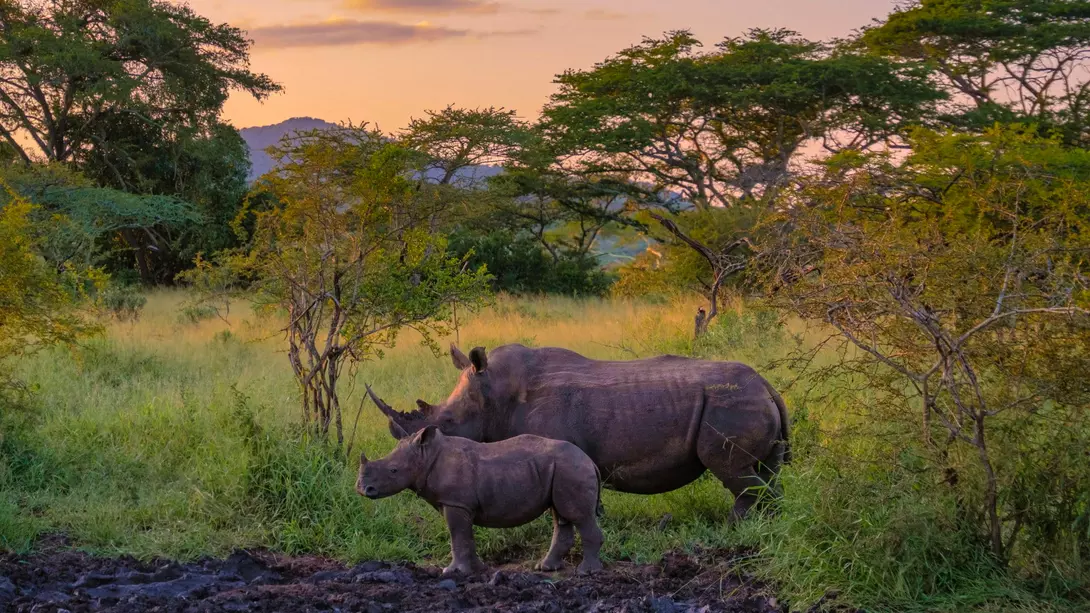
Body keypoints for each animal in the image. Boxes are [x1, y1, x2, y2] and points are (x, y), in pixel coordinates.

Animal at [357, 425, 604, 575]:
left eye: (393, 470)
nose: (362, 489)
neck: (426, 456)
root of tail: (590, 461)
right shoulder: (461, 504)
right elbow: (465, 537)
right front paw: (477, 569)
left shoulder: (455, 502)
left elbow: (457, 536)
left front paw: (452, 572)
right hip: (563, 469)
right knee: (561, 515)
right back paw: (545, 568)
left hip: (571, 468)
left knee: (578, 516)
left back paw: (586, 572)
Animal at [368, 343, 790, 520]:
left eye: (447, 423)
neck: (496, 393)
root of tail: (768, 386)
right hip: (745, 400)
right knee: (764, 472)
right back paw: (766, 523)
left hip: (729, 403)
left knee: (732, 470)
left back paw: (737, 525)